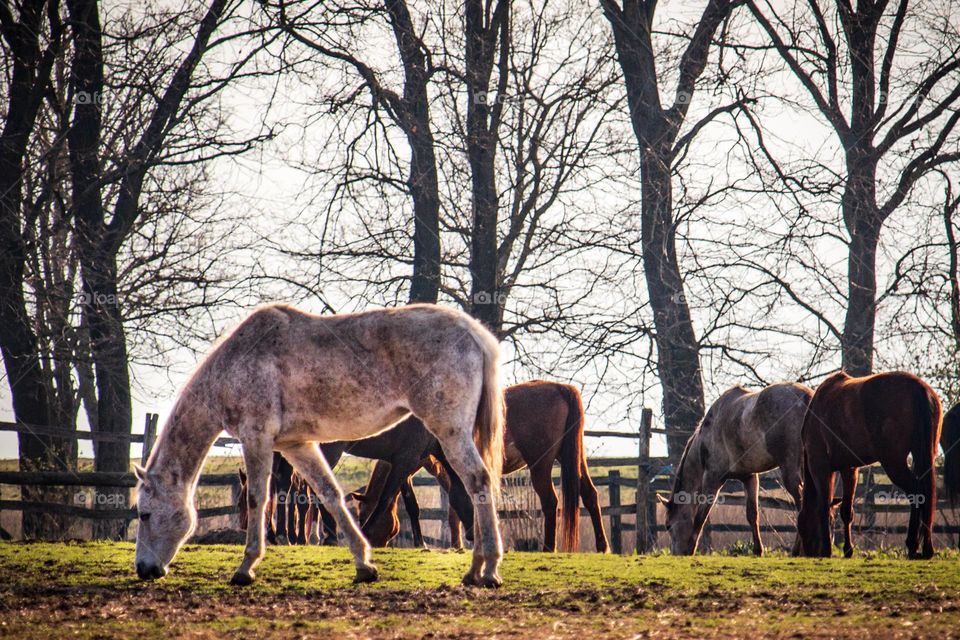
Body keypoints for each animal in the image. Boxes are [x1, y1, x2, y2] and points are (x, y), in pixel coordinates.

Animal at [138, 302, 510, 588]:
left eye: (144, 514)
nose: (143, 569)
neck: (235, 363)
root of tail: (473, 331)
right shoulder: (297, 445)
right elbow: (329, 494)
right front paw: (364, 565)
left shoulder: (256, 436)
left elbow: (259, 498)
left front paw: (246, 568)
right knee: (473, 488)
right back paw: (476, 569)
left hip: (449, 431)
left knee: (478, 481)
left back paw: (488, 569)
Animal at [796, 372, 944, 556]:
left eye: (802, 528)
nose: (807, 553)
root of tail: (919, 388)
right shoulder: (849, 469)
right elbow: (846, 511)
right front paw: (848, 550)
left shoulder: (819, 466)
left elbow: (822, 507)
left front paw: (827, 550)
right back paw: (925, 548)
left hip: (893, 462)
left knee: (917, 492)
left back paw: (913, 544)